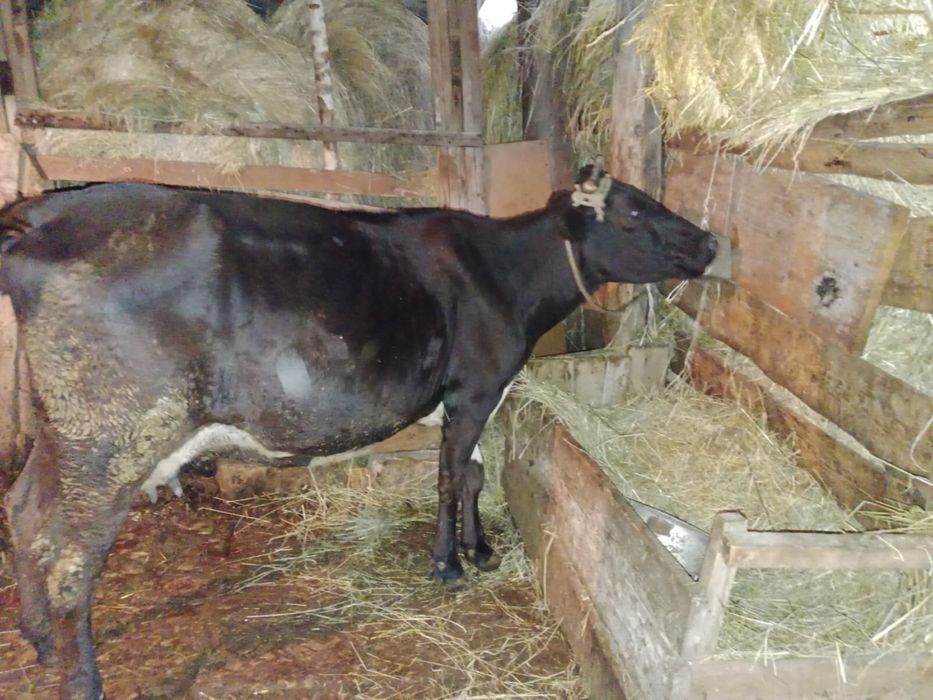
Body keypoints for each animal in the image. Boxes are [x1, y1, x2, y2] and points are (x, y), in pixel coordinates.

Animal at [0, 163, 719, 698]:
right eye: (631, 213)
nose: (710, 242)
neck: (506, 277)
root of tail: (42, 219)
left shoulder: (473, 399)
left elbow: (474, 473)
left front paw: (480, 550)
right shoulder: (474, 391)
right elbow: (450, 478)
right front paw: (447, 562)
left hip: (64, 431)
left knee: (25, 511)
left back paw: (39, 640)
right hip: (112, 436)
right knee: (70, 560)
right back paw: (82, 679)